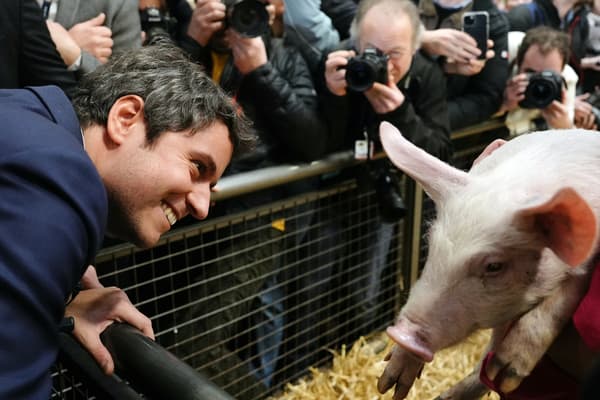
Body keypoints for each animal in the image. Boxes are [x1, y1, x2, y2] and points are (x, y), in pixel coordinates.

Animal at [376, 122, 600, 400]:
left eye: (494, 266)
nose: (401, 333)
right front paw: (388, 384)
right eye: (430, 241)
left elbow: (565, 294)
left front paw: (506, 374)